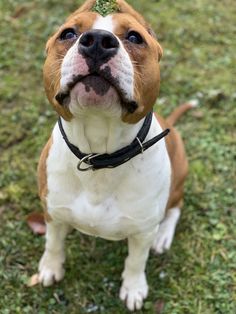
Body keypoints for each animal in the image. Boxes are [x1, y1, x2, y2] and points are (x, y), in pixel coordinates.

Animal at [37, 0, 192, 310]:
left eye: (134, 37)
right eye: (68, 33)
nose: (98, 41)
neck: (97, 156)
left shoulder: (142, 232)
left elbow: (136, 260)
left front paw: (133, 288)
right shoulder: (52, 211)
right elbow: (53, 242)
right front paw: (50, 267)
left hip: (180, 172)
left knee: (175, 206)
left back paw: (163, 236)